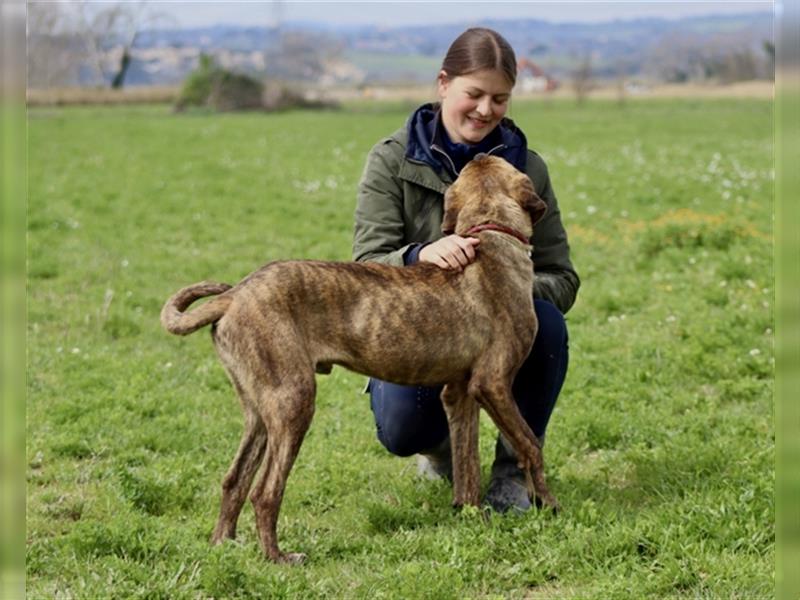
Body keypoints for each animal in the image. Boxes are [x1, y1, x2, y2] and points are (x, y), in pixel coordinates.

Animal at [160, 154, 560, 564]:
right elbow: (530, 445)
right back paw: (278, 557)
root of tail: (234, 295)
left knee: (234, 479)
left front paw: (470, 515)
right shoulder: (492, 384)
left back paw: (224, 544)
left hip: (259, 411)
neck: (490, 235)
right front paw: (549, 505)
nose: (479, 153)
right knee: (265, 491)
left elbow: (468, 467)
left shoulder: (460, 394)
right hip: (293, 402)